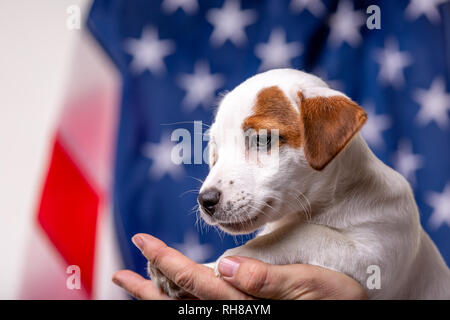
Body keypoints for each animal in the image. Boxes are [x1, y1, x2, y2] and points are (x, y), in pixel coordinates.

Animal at [149, 69, 450, 298]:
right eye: (215, 152)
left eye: (262, 139)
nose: (206, 201)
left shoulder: (375, 256)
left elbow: (306, 233)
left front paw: (233, 256)